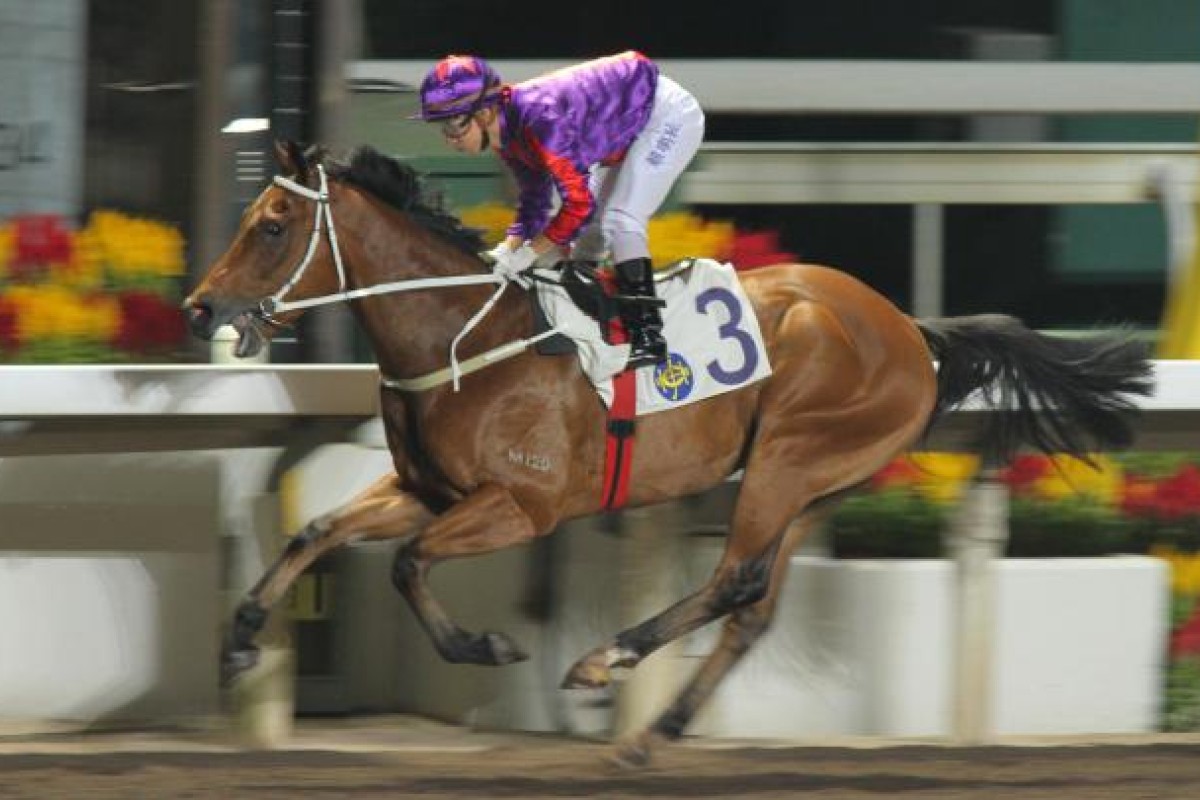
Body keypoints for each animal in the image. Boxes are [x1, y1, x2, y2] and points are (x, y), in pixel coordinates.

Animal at [184, 140, 1152, 767]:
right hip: (815, 487)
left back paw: (606, 659)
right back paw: (655, 731)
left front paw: (488, 647)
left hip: (789, 459)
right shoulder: (430, 489)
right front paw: (237, 643)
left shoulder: (521, 504)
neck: (463, 334)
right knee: (754, 605)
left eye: (273, 226)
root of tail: (911, 330)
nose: (199, 309)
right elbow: (317, 530)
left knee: (732, 580)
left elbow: (408, 564)